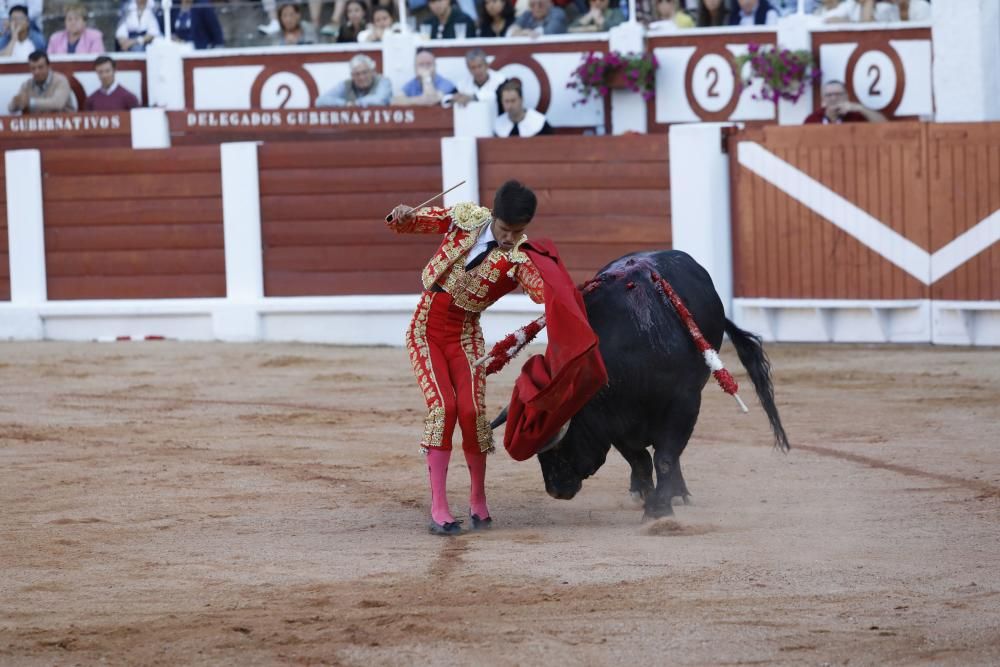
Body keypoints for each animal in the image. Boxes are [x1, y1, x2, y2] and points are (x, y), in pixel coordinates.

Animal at [492, 250, 788, 520]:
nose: (556, 490)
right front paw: (647, 496)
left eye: (558, 446)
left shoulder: (684, 404)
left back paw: (678, 493)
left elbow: (666, 457)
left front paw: (660, 507)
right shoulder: (614, 419)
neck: (633, 353)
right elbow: (640, 459)